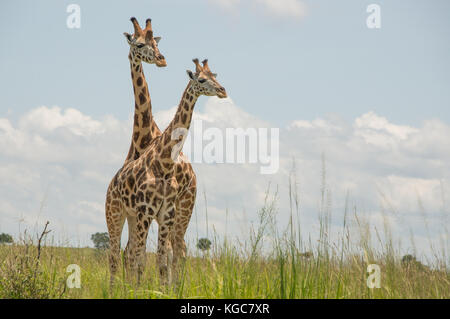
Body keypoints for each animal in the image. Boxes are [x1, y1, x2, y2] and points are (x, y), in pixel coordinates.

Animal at [107, 58, 227, 284]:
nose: (222, 91)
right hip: (115, 213)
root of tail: (111, 185)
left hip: (150, 215)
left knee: (163, 251)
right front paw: (138, 290)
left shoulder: (165, 214)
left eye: (215, 76)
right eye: (201, 79)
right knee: (115, 254)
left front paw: (160, 289)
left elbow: (160, 262)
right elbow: (140, 259)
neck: (164, 164)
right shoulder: (146, 212)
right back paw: (114, 289)